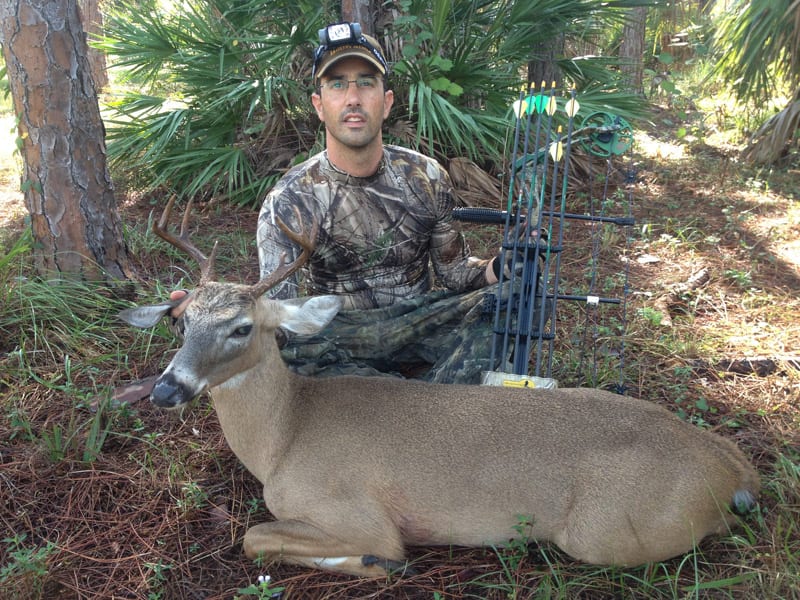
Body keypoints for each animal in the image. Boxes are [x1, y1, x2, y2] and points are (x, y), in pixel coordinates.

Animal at [117, 197, 760, 578]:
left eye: (242, 326)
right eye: (181, 321)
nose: (167, 390)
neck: (285, 434)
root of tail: (732, 468)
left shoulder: (354, 510)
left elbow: (259, 538)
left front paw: (375, 563)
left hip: (607, 532)